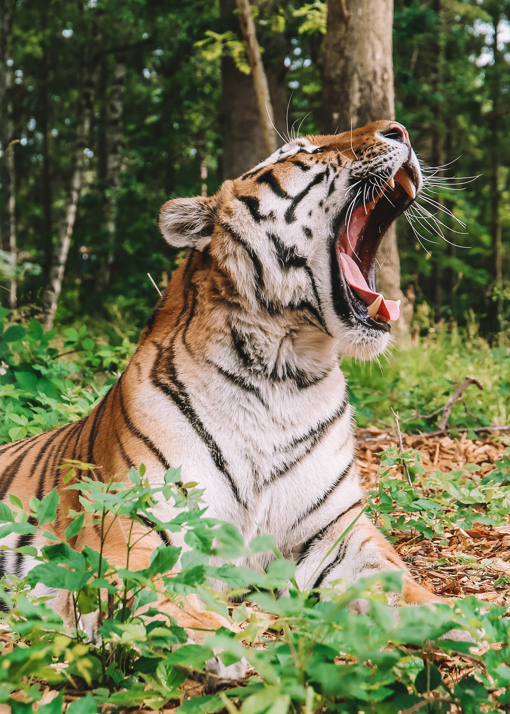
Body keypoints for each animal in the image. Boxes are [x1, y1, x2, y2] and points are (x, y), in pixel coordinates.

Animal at [0, 120, 442, 678]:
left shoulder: (338, 533)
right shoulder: (127, 532)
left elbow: (403, 585)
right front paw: (222, 641)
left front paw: (466, 626)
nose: (399, 129)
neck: (284, 376)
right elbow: (158, 592)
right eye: (300, 151)